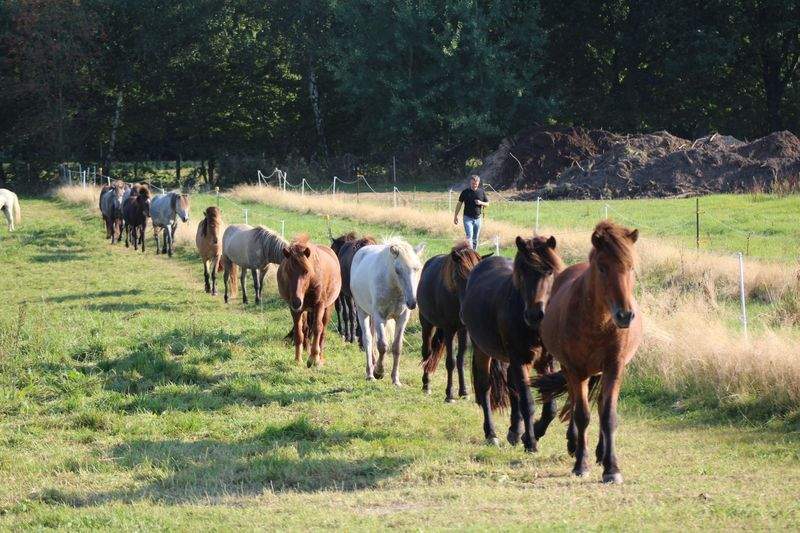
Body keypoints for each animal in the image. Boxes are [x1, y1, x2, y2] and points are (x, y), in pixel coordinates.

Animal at [276, 235, 341, 367]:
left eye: (306, 271)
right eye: (288, 271)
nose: (296, 301)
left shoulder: (319, 305)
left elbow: (317, 328)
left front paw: (314, 358)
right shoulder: (295, 310)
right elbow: (298, 332)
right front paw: (298, 359)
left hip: (327, 308)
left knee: (323, 332)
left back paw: (320, 357)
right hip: (306, 310)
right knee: (306, 328)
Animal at [350, 237, 425, 385]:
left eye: (417, 268)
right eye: (398, 270)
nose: (412, 302)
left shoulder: (402, 318)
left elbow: (397, 347)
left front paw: (395, 379)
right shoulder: (380, 316)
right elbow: (382, 345)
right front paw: (379, 372)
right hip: (363, 312)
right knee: (368, 339)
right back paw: (370, 373)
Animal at [418, 241, 491, 402]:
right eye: (457, 276)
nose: (464, 314)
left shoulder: (463, 330)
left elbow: (460, 360)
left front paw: (464, 391)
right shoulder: (449, 329)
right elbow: (450, 361)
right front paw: (449, 394)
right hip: (427, 324)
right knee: (426, 352)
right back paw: (426, 385)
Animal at [461, 235, 563, 452]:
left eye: (549, 271)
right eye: (522, 272)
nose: (534, 315)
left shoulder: (546, 362)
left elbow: (550, 407)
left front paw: (531, 433)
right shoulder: (520, 359)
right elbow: (528, 402)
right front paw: (531, 442)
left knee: (511, 387)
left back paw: (515, 432)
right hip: (483, 351)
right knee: (485, 387)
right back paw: (491, 434)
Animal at [533, 221, 642, 484]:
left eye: (631, 267)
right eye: (602, 268)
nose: (625, 315)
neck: (598, 321)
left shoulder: (614, 367)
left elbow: (608, 415)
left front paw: (612, 468)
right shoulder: (575, 369)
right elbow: (581, 414)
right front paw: (580, 465)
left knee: (601, 404)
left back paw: (601, 452)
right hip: (572, 370)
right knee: (575, 402)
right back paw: (575, 444)